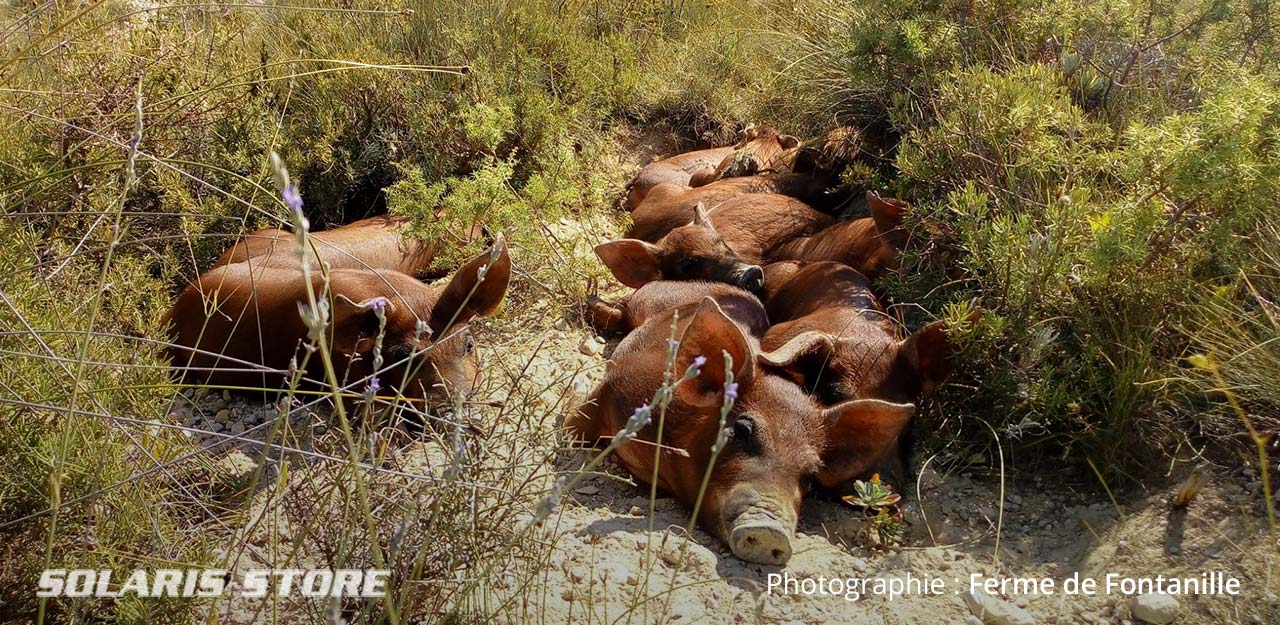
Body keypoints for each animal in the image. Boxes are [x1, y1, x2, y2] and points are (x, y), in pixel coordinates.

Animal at [565, 285, 916, 563]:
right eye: (744, 430)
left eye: (810, 474)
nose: (772, 530)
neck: (664, 462)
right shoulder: (615, 387)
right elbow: (576, 424)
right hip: (648, 299)